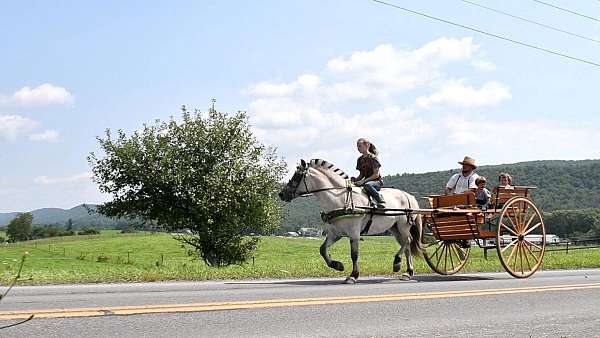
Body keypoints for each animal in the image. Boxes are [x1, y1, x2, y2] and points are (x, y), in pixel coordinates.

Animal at [278, 158, 422, 282]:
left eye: (297, 176)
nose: (281, 194)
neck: (340, 198)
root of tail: (409, 196)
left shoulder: (354, 233)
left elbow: (354, 254)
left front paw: (353, 275)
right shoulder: (335, 233)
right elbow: (322, 249)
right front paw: (337, 265)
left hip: (403, 225)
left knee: (408, 241)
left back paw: (397, 262)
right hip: (394, 228)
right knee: (406, 245)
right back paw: (408, 272)